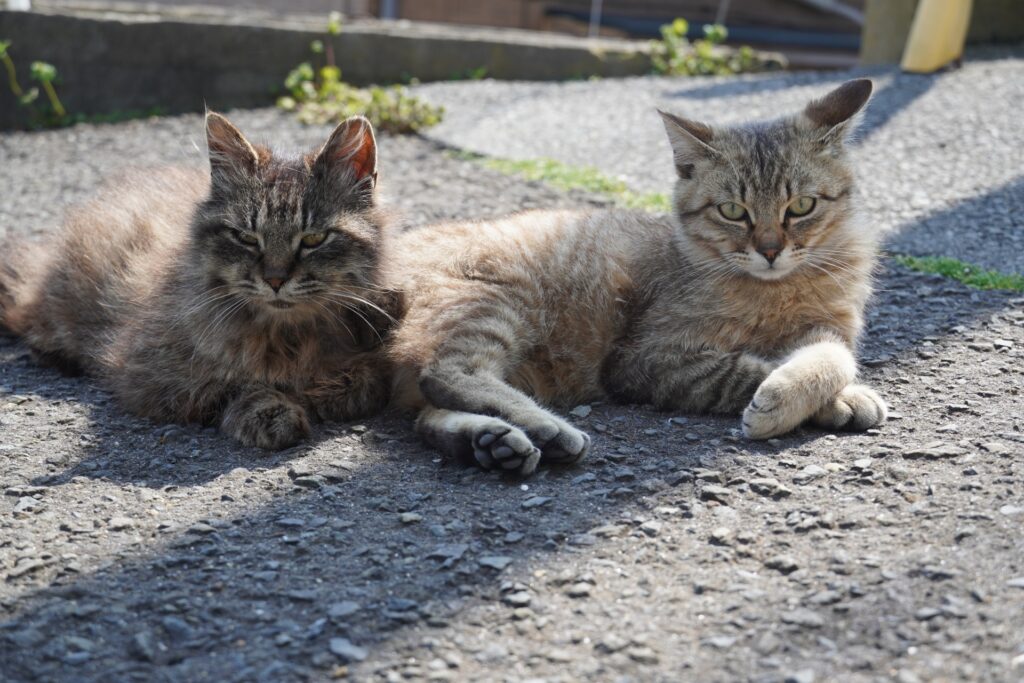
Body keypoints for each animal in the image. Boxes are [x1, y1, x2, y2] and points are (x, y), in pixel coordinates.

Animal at [0, 114, 393, 450]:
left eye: (313, 239)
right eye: (246, 238)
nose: (275, 280)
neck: (287, 336)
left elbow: (363, 382)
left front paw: (320, 392)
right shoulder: (150, 377)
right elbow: (233, 386)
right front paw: (273, 411)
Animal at [385, 78, 888, 475]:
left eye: (801, 206)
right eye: (732, 211)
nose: (769, 251)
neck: (778, 290)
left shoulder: (829, 326)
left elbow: (833, 357)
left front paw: (830, 392)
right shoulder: (647, 359)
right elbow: (746, 370)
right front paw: (812, 399)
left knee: (427, 415)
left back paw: (493, 443)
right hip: (498, 300)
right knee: (447, 374)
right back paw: (546, 428)